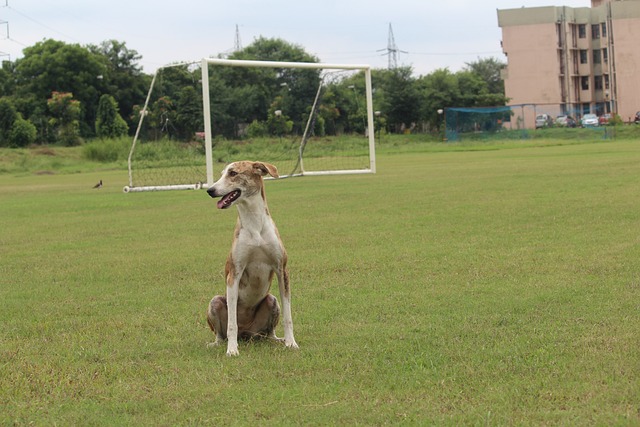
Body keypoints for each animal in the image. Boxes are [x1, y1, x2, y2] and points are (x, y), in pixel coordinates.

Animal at [206, 162, 298, 356]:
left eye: (233, 173)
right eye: (222, 173)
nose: (210, 190)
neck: (255, 225)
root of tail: (247, 333)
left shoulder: (282, 270)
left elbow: (288, 316)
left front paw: (291, 343)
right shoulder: (235, 273)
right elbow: (231, 324)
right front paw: (232, 350)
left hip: (272, 301)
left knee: (269, 333)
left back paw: (278, 339)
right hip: (215, 301)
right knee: (221, 334)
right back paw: (220, 343)